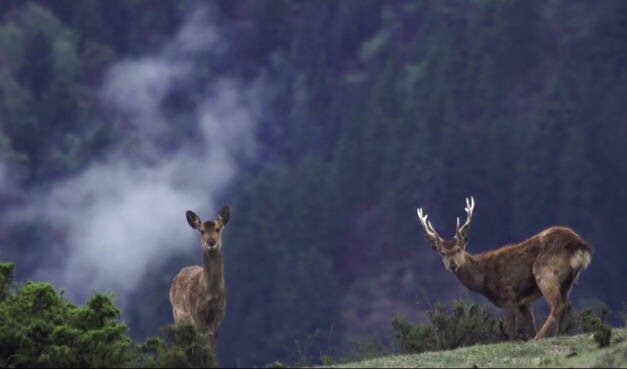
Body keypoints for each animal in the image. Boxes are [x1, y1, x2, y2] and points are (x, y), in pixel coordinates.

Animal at [169, 206, 231, 346]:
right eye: (202, 231)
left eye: (217, 228)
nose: (211, 242)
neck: (211, 294)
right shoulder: (197, 314)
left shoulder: (219, 315)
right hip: (177, 316)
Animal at [418, 198, 592, 340]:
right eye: (442, 253)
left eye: (459, 249)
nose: (453, 265)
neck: (484, 279)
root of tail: (578, 244)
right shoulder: (523, 302)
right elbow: (530, 327)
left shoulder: (508, 295)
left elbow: (512, 335)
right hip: (568, 280)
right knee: (565, 304)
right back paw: (558, 335)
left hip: (545, 271)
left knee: (557, 305)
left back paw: (539, 339)